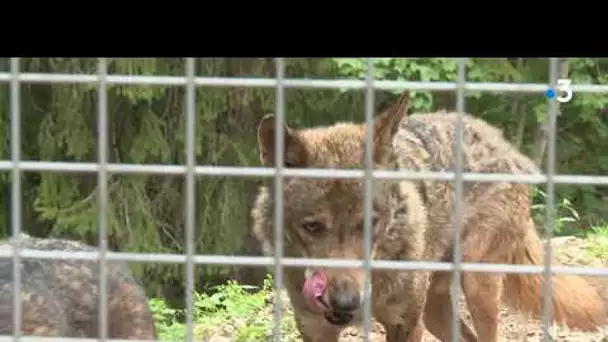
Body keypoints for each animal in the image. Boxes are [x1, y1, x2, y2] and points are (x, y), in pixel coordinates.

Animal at [249, 91, 604, 342]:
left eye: (371, 224)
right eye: (312, 227)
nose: (346, 303)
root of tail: (501, 141)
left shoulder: (405, 323)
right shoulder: (315, 330)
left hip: (476, 287)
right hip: (435, 310)